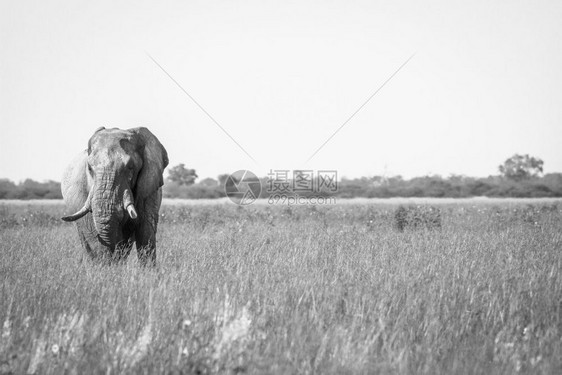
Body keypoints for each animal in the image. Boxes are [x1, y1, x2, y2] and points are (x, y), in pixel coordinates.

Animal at [61, 128, 167, 266]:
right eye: (89, 168)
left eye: (130, 167)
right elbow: (94, 234)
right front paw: (106, 268)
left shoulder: (150, 188)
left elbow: (146, 230)